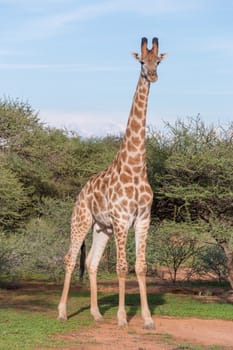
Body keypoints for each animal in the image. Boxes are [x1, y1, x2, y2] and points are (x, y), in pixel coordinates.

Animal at [58, 37, 167, 330]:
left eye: (158, 61)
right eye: (142, 62)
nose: (153, 75)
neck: (136, 166)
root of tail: (81, 191)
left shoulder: (143, 218)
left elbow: (140, 266)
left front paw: (148, 319)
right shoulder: (121, 218)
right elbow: (121, 266)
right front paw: (121, 318)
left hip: (101, 228)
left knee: (92, 262)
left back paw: (96, 313)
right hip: (81, 220)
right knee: (70, 258)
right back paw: (62, 312)